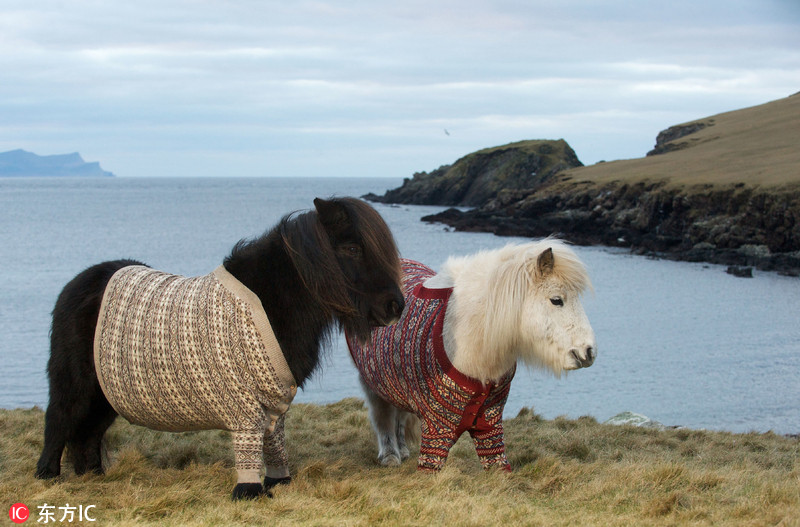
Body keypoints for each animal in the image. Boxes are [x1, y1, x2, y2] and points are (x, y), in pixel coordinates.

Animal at [34, 197, 404, 500]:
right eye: (352, 249)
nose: (395, 306)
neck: (271, 302)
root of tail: (79, 283)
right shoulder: (246, 406)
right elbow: (249, 445)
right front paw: (249, 493)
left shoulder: (273, 403)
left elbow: (275, 443)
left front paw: (278, 483)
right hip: (77, 385)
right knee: (59, 420)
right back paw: (48, 477)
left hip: (107, 393)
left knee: (87, 435)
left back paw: (94, 477)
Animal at [346, 239, 596, 470]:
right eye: (556, 300)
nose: (589, 353)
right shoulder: (437, 428)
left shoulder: (491, 423)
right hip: (373, 379)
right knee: (383, 415)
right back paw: (390, 455)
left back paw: (403, 450)